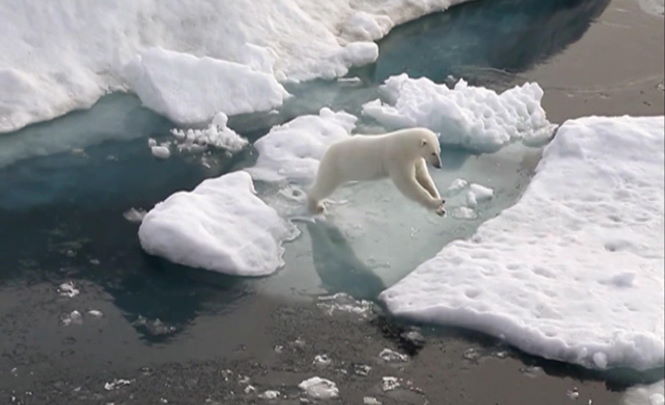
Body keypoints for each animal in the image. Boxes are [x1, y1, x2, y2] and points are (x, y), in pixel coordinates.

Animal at [308, 126, 444, 215]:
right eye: (433, 153)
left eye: (439, 151)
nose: (439, 165)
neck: (407, 146)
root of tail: (328, 150)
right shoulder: (398, 159)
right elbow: (408, 184)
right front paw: (436, 202)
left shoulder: (416, 160)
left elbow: (424, 178)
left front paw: (440, 206)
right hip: (336, 167)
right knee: (325, 185)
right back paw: (316, 205)